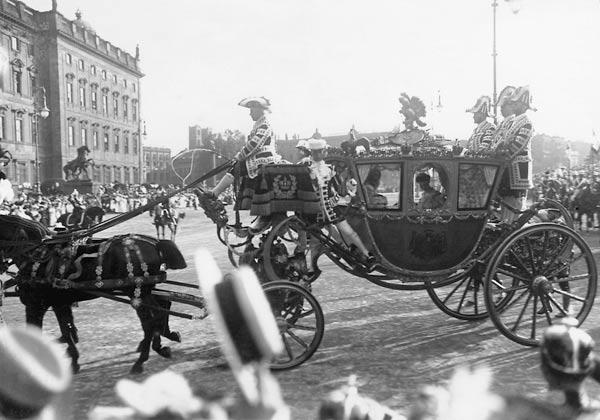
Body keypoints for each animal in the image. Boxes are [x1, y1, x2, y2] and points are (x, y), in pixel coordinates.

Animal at [0, 215, 186, 372]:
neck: (37, 256)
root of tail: (154, 242)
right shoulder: (59, 303)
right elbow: (66, 330)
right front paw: (74, 359)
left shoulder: (36, 305)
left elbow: (47, 332)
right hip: (144, 291)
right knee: (162, 308)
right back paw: (162, 343)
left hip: (136, 292)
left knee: (149, 322)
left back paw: (141, 360)